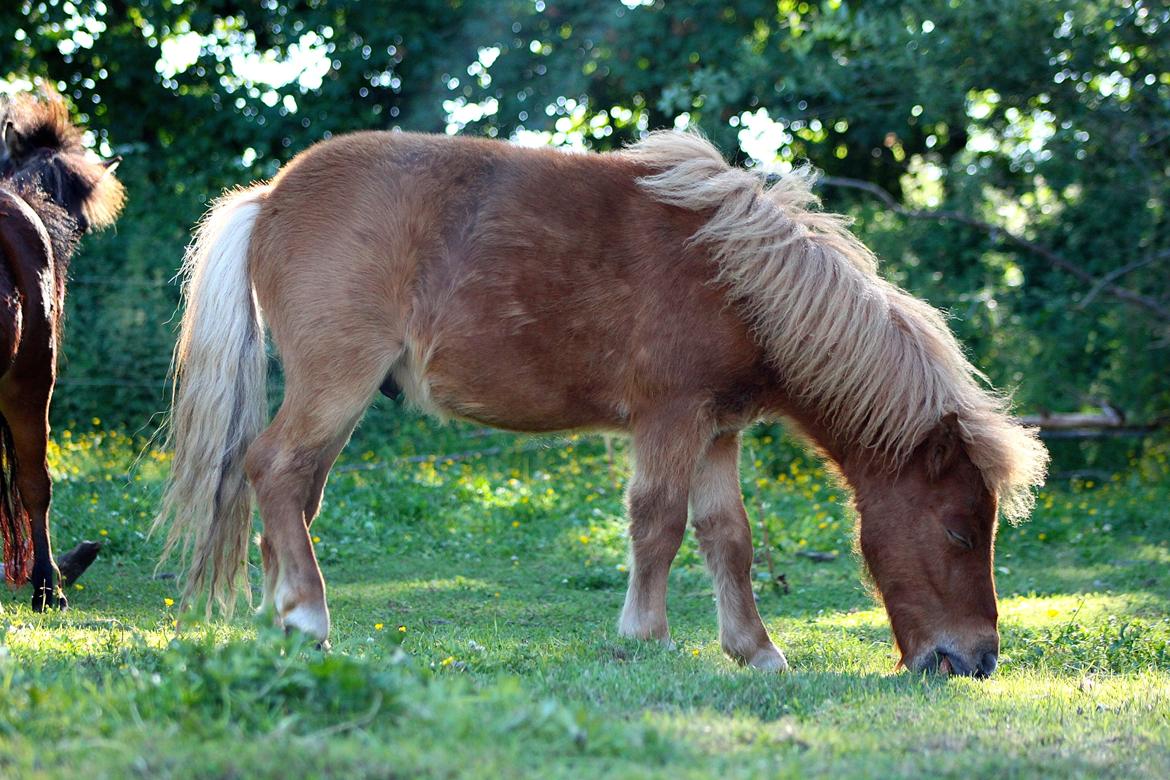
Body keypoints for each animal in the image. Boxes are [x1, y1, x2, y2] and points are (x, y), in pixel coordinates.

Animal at [157, 129, 1053, 678]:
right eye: (961, 530)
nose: (977, 660)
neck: (737, 278)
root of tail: (270, 197)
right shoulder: (670, 420)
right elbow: (657, 522)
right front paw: (646, 635)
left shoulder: (717, 431)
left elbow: (728, 538)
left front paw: (756, 652)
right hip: (336, 384)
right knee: (274, 471)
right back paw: (308, 616)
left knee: (290, 492)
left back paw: (281, 615)